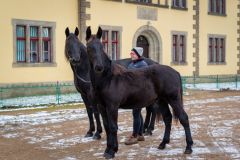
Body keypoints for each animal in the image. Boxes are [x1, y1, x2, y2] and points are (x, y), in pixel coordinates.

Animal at [86, 26, 193, 159]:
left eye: (101, 47)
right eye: (89, 47)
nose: (99, 67)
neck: (108, 78)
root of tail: (175, 72)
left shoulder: (112, 107)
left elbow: (113, 127)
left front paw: (112, 151)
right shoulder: (102, 107)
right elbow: (107, 127)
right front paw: (107, 150)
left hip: (173, 99)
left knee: (184, 118)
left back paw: (188, 147)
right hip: (162, 100)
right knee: (167, 119)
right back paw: (163, 144)